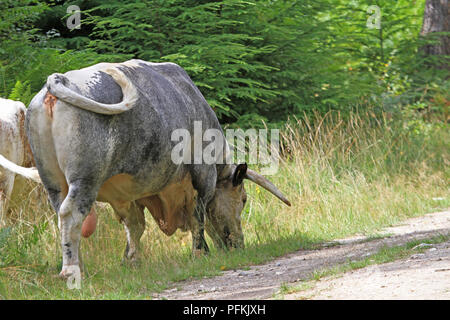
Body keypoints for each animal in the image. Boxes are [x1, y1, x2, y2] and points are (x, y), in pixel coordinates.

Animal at [22, 59, 290, 278]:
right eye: (243, 199)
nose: (238, 245)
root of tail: (59, 79)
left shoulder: (128, 194)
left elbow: (135, 226)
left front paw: (131, 262)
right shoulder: (202, 177)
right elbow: (198, 218)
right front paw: (200, 253)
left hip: (54, 182)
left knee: (63, 215)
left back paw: (81, 266)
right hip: (85, 179)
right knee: (71, 214)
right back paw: (71, 271)